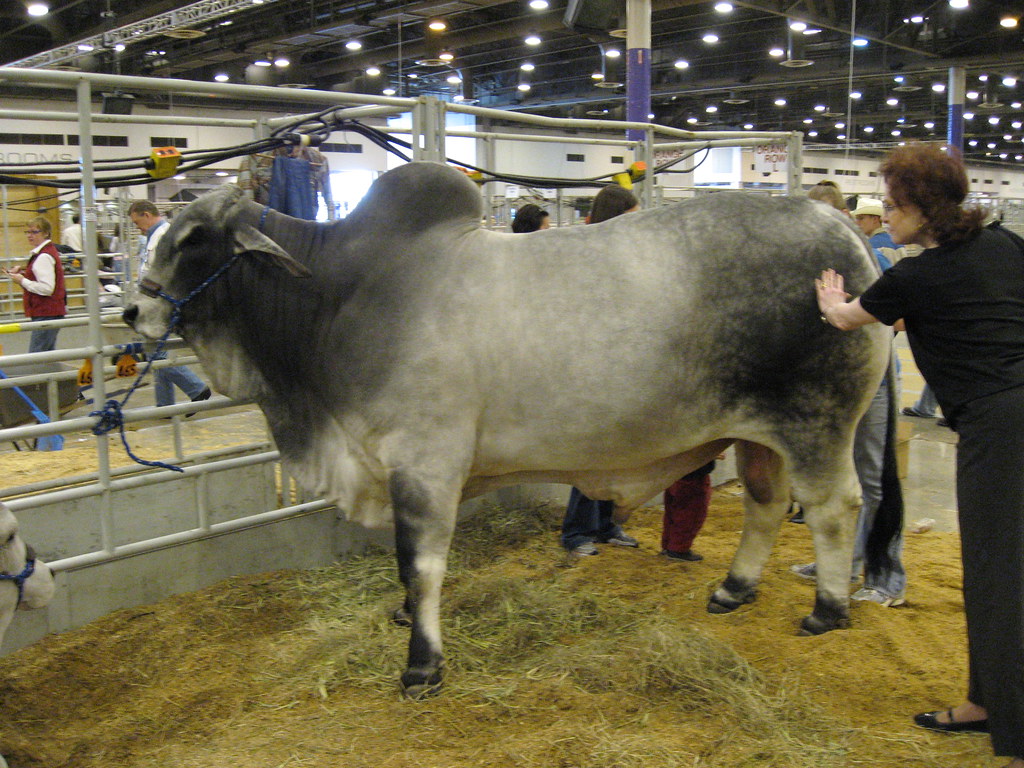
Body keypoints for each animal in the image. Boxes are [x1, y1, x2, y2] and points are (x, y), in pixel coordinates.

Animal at [123, 161, 900, 697]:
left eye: (192, 237)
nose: (135, 312)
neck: (338, 296)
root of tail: (846, 238)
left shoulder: (424, 462)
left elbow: (420, 563)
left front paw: (422, 667)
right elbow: (409, 570)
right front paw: (406, 622)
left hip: (816, 423)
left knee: (836, 508)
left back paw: (828, 608)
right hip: (758, 434)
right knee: (767, 506)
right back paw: (734, 590)